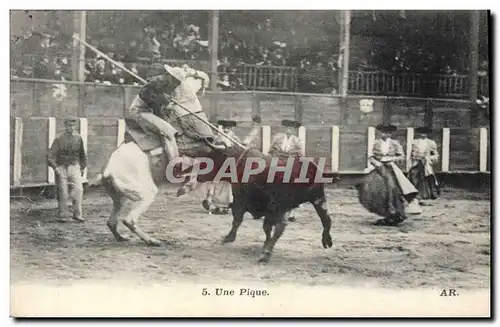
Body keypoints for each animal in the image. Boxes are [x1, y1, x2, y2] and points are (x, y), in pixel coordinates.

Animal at [188, 149, 336, 264]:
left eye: (208, 160)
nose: (196, 176)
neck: (237, 161)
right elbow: (266, 228)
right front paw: (265, 243)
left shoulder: (240, 201)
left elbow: (237, 220)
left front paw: (229, 238)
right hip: (317, 200)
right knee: (326, 219)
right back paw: (326, 240)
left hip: (280, 205)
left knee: (280, 227)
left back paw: (265, 255)